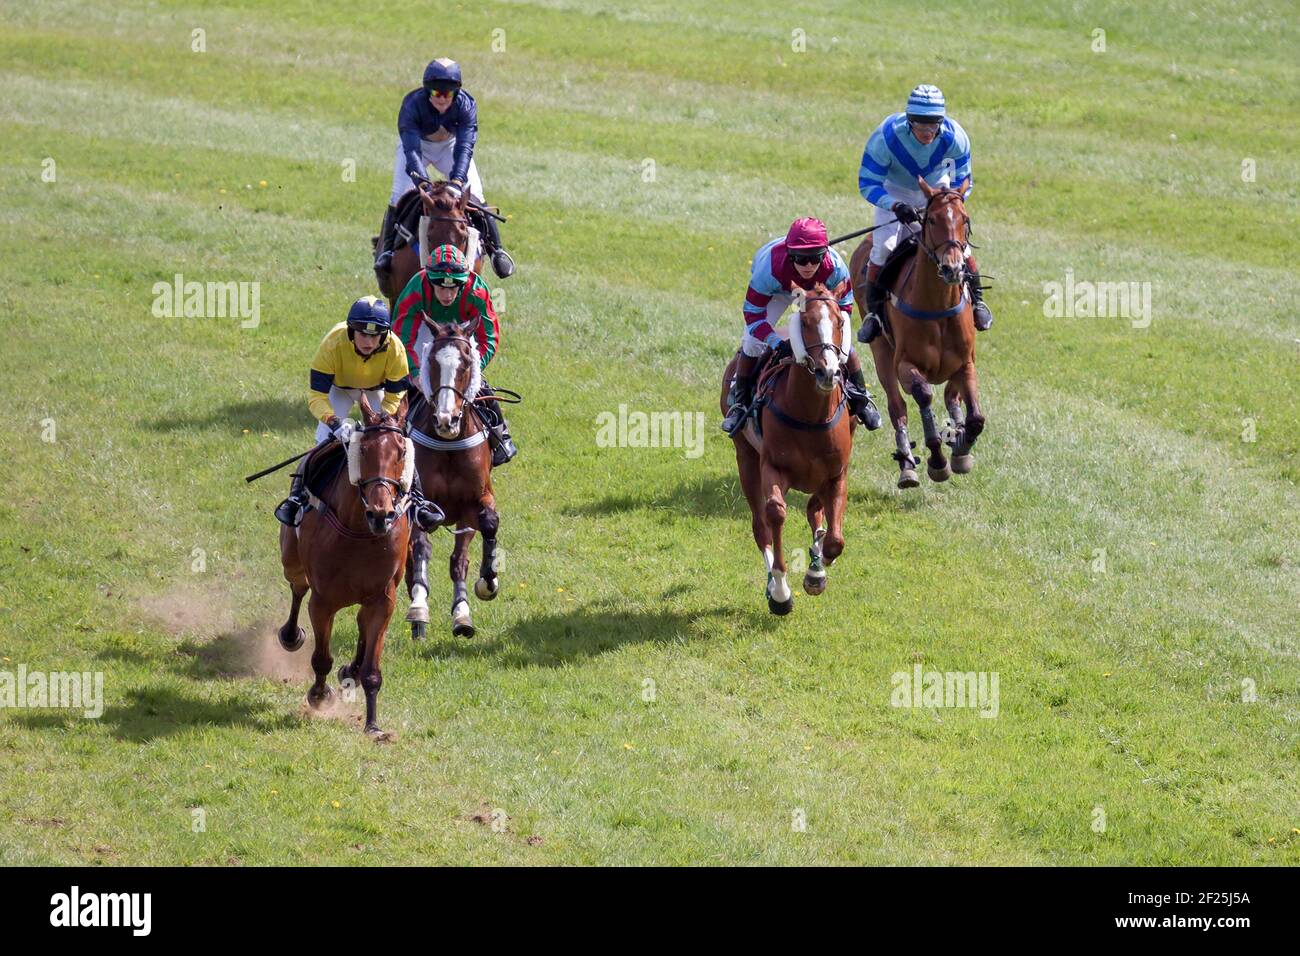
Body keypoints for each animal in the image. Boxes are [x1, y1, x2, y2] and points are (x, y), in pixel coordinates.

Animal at [276, 392, 413, 738]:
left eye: (402, 452)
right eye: (363, 450)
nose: (381, 514)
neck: (360, 531)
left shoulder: (384, 599)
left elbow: (372, 669)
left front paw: (373, 726)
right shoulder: (323, 601)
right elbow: (321, 657)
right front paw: (318, 695)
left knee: (362, 625)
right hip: (291, 559)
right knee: (297, 587)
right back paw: (290, 635)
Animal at [405, 325, 496, 639]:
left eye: (466, 364)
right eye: (432, 362)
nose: (446, 419)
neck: (448, 444)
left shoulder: (472, 503)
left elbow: (462, 558)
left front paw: (464, 611)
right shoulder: (420, 503)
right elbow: (421, 548)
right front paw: (419, 607)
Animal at [717, 282, 857, 613]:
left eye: (840, 322)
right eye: (805, 322)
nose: (828, 372)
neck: (811, 415)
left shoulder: (837, 472)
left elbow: (835, 538)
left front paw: (818, 570)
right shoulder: (772, 466)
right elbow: (775, 514)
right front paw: (781, 591)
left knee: (814, 510)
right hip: (746, 457)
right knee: (760, 526)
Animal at [847, 176, 977, 489]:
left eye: (964, 219)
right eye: (933, 220)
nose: (953, 268)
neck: (938, 306)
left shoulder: (966, 362)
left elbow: (976, 416)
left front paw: (962, 446)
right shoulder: (905, 364)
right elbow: (922, 395)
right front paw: (937, 461)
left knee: (952, 397)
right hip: (881, 352)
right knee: (897, 408)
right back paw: (907, 465)